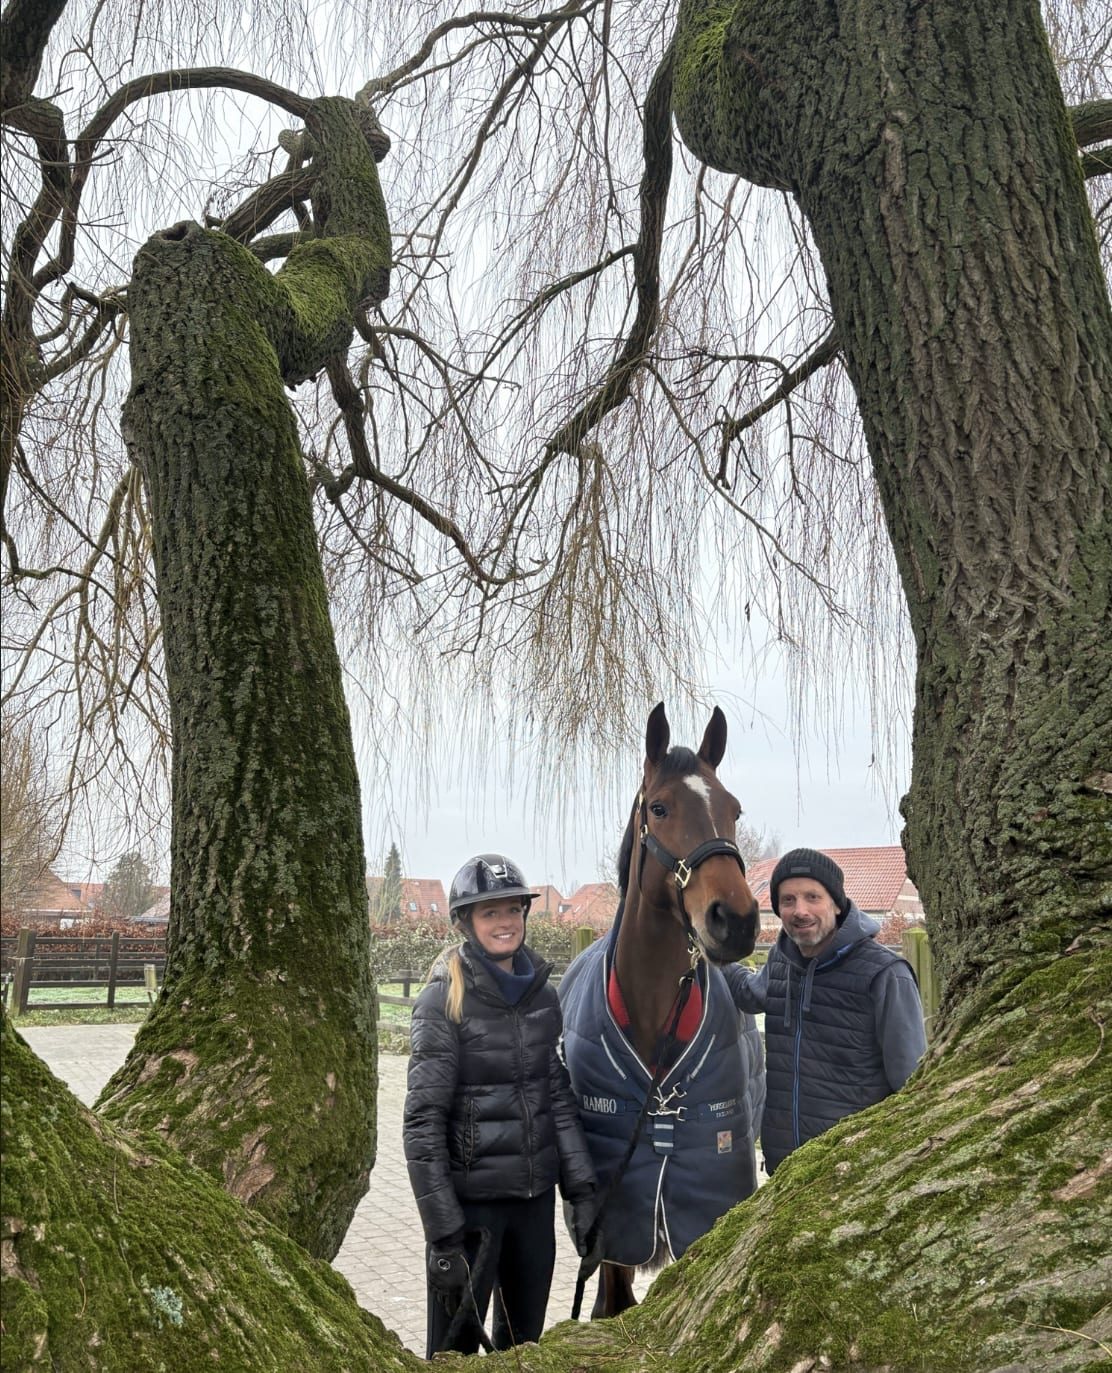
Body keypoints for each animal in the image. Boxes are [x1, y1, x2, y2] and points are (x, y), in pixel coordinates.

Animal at [558, 702, 765, 1318]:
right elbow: (612, 1302)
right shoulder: (614, 1224)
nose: (736, 919)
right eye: (659, 807)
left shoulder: (702, 1207)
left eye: (733, 809)